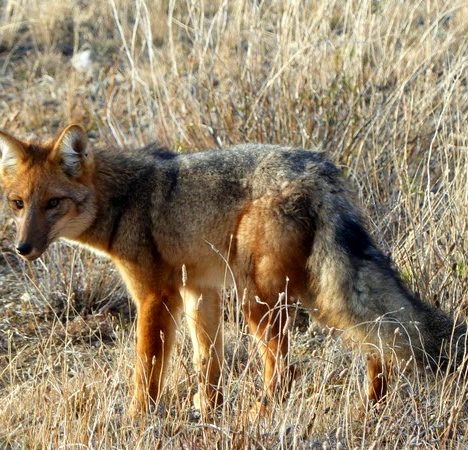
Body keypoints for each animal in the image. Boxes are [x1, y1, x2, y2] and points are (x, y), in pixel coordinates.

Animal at [0, 125, 464, 416]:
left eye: (53, 203)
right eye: (18, 204)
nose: (22, 249)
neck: (125, 199)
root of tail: (320, 169)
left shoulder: (155, 297)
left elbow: (146, 371)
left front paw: (137, 419)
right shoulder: (199, 292)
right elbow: (208, 364)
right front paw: (209, 412)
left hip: (260, 303)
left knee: (289, 372)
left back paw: (259, 416)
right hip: (314, 294)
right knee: (376, 346)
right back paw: (370, 409)